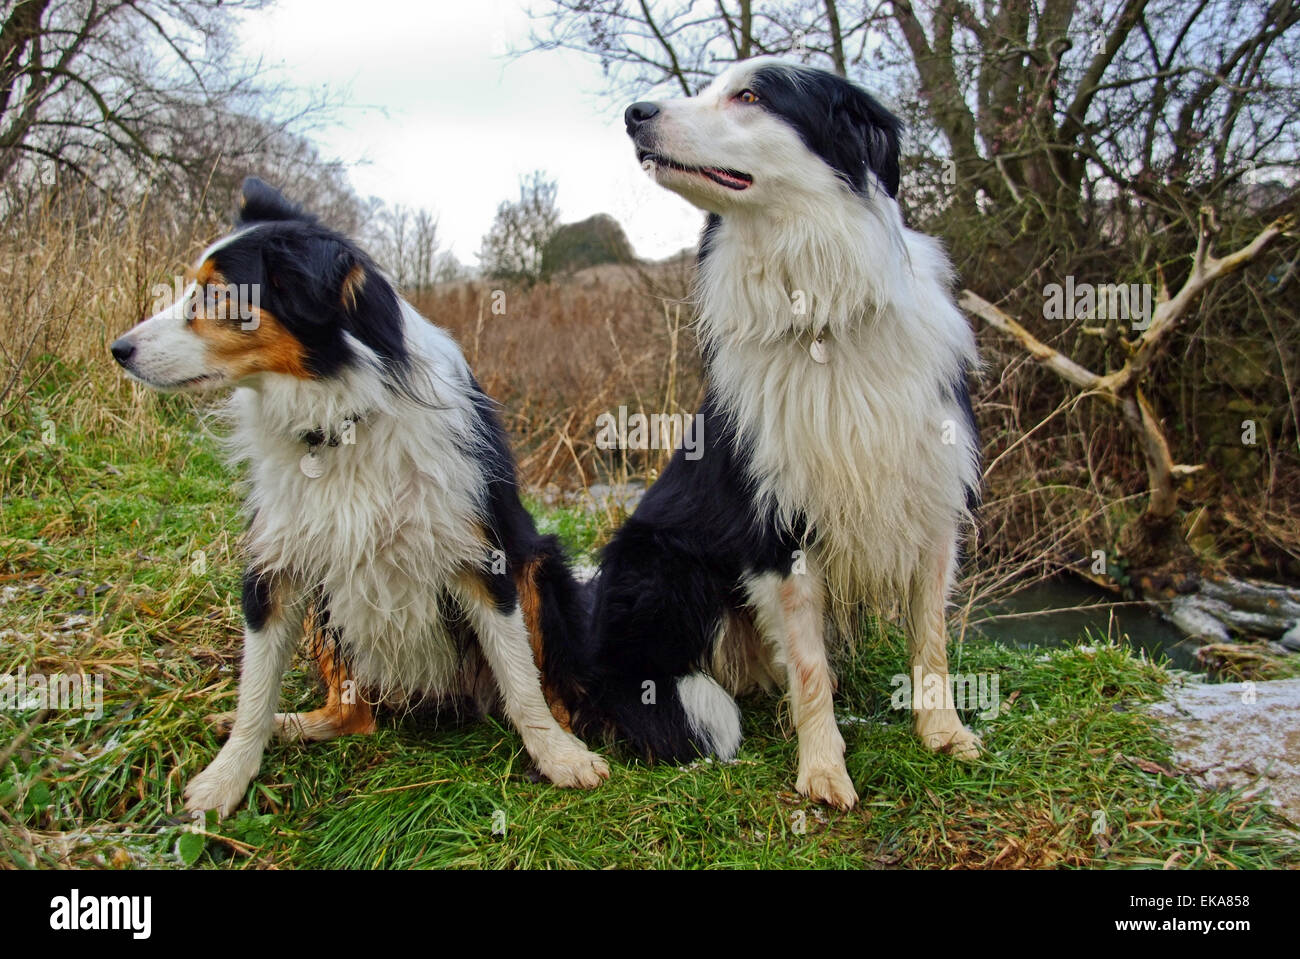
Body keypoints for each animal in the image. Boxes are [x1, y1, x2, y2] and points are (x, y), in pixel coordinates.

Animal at [109, 178, 605, 805]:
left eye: (220, 296)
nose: (118, 349)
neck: (337, 419)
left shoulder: (481, 554)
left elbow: (522, 679)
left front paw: (559, 758)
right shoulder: (277, 563)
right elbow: (254, 688)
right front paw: (227, 775)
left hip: (540, 565)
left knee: (555, 693)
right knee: (351, 717)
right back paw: (290, 726)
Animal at [587, 59, 977, 805]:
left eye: (750, 96)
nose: (632, 113)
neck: (819, 310)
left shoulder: (931, 501)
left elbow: (932, 636)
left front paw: (942, 733)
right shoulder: (777, 528)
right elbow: (809, 665)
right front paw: (823, 769)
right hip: (658, 562)